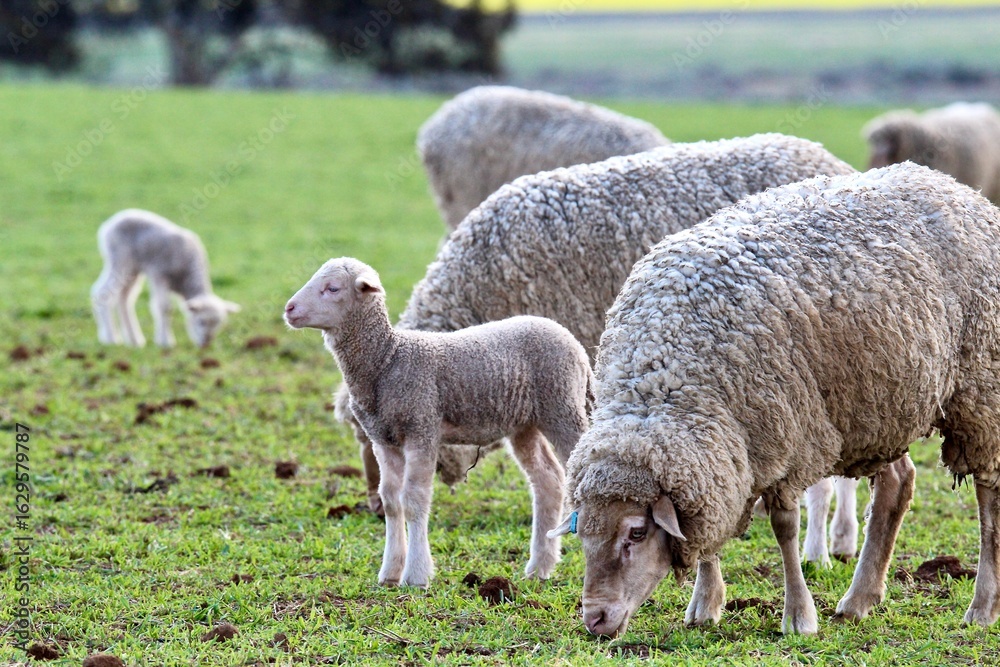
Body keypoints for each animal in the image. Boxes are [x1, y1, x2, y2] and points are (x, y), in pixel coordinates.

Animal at [91, 209, 240, 348]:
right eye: (201, 321)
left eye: (219, 324)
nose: (206, 344)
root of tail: (110, 223)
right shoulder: (159, 273)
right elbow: (165, 307)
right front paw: (166, 342)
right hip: (120, 259)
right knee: (103, 292)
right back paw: (111, 339)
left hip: (133, 269)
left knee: (124, 299)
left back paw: (135, 340)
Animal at [285, 257, 592, 587]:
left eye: (332, 288)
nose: (289, 309)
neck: (387, 359)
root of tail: (571, 339)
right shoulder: (384, 440)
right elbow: (392, 501)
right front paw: (389, 572)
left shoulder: (421, 428)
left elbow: (414, 500)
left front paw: (416, 575)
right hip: (525, 424)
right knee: (547, 480)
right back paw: (539, 568)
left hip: (562, 406)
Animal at [550, 162, 1000, 637]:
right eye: (582, 535)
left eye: (636, 533)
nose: (595, 619)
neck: (660, 381)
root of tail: (950, 183)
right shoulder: (726, 448)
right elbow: (712, 529)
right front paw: (705, 604)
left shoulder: (785, 438)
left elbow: (785, 530)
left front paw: (799, 615)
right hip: (878, 405)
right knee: (898, 483)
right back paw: (859, 599)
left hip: (978, 391)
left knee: (988, 498)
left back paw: (981, 607)